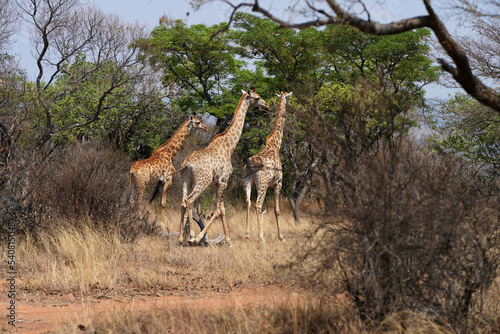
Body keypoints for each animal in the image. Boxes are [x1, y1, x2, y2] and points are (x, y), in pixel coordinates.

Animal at [177, 88, 268, 245]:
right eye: (257, 98)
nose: (266, 105)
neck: (229, 146)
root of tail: (187, 164)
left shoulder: (216, 183)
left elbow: (222, 209)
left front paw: (229, 240)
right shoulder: (224, 180)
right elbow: (219, 210)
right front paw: (202, 237)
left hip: (186, 180)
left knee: (183, 202)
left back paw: (181, 238)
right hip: (202, 181)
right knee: (189, 200)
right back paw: (192, 236)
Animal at [243, 91, 292, 243]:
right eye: (289, 98)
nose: (290, 105)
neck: (275, 146)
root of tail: (249, 164)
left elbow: (265, 209)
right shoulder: (278, 183)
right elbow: (276, 210)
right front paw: (281, 236)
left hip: (247, 181)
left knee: (248, 202)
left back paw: (247, 234)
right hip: (262, 184)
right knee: (257, 204)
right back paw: (260, 238)